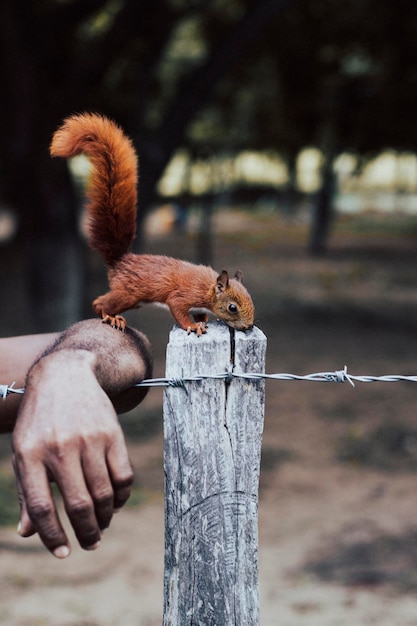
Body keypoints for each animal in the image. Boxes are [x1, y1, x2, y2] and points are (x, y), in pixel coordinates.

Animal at [48, 114, 254, 334]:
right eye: (232, 307)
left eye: (250, 299)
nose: (249, 326)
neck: (208, 288)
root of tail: (121, 261)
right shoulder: (183, 296)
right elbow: (179, 310)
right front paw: (193, 326)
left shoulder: (198, 305)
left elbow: (200, 313)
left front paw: (203, 321)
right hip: (127, 294)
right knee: (100, 303)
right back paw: (111, 317)